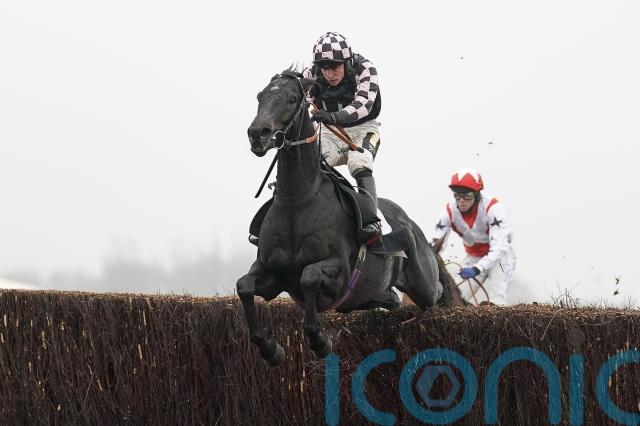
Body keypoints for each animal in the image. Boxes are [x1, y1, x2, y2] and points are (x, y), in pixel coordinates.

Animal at [238, 69, 463, 367]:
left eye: (291, 98)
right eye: (260, 96)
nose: (257, 134)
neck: (298, 200)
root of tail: (411, 226)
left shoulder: (339, 273)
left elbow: (309, 276)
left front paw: (320, 341)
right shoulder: (272, 273)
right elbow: (244, 286)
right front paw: (270, 349)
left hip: (421, 281)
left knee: (434, 291)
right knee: (390, 298)